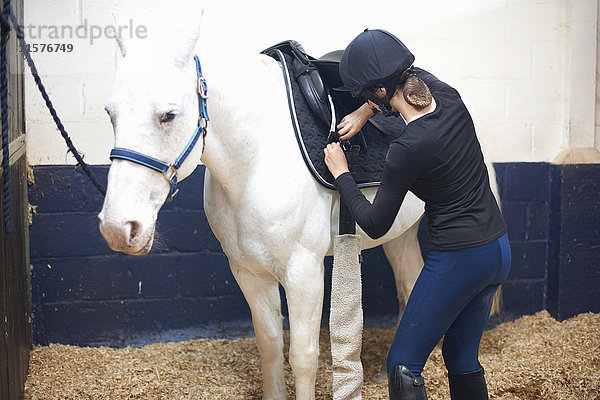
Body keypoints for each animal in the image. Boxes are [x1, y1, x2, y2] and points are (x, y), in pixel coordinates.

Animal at [97, 22, 492, 400]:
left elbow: (302, 356)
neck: (256, 158)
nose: (118, 227)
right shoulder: (247, 270)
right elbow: (270, 345)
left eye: (168, 115)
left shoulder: (304, 271)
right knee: (410, 284)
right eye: (109, 113)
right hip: (400, 231)